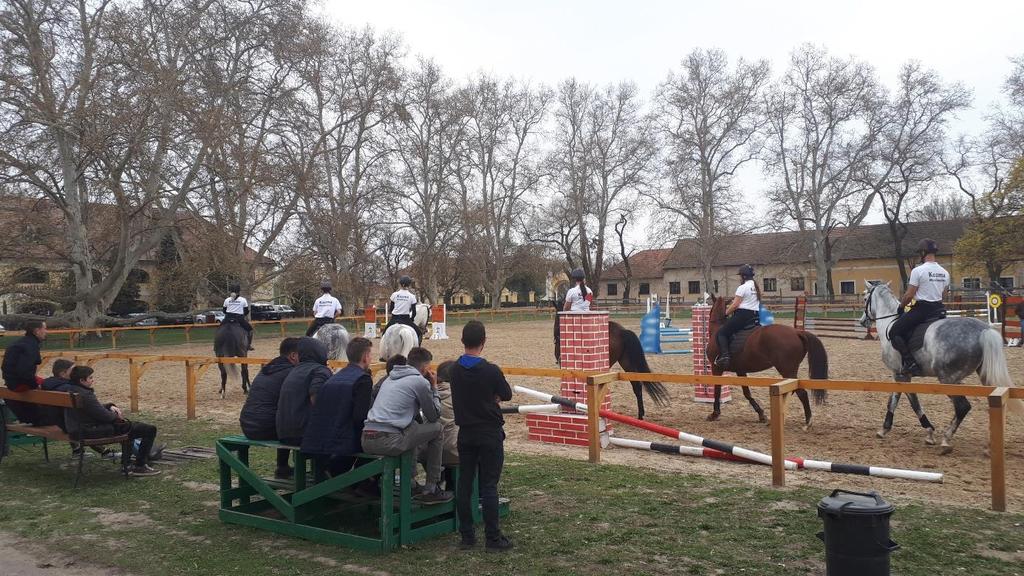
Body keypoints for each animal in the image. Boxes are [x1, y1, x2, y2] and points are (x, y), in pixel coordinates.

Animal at [708, 293, 827, 428]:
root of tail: (797, 332)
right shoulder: (740, 370)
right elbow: (747, 393)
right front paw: (760, 414)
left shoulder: (716, 368)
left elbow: (717, 390)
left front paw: (715, 413)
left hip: (787, 370)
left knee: (801, 392)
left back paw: (808, 420)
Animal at [860, 280, 1019, 450]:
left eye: (865, 298)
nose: (862, 321)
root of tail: (984, 330)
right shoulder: (901, 375)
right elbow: (895, 400)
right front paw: (885, 429)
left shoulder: (901, 375)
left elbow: (911, 403)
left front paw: (928, 432)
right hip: (980, 375)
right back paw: (989, 446)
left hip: (947, 379)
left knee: (962, 407)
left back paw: (946, 440)